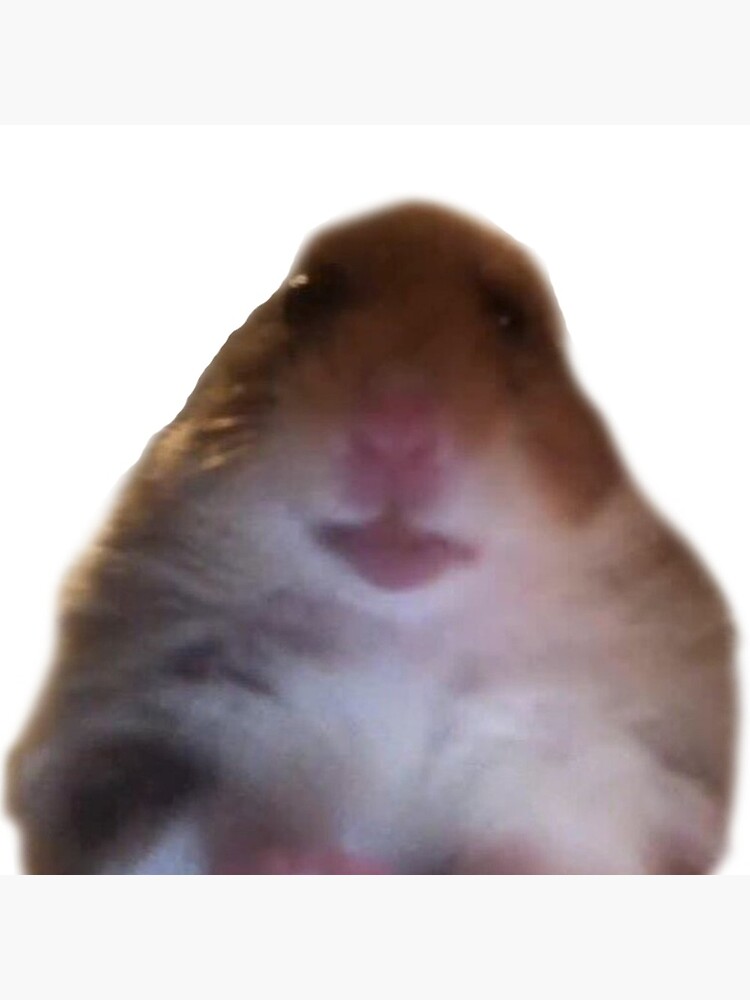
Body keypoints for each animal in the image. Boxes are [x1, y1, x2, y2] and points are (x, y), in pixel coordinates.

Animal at [6, 202, 736, 874]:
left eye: (511, 320)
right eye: (306, 296)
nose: (395, 430)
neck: (400, 636)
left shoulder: (602, 770)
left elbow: (538, 847)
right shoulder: (126, 751)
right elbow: (208, 831)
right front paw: (323, 861)